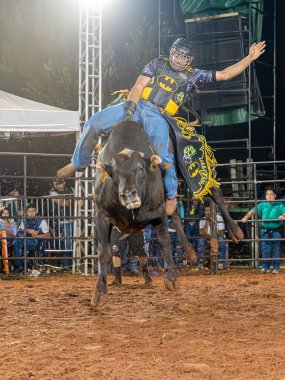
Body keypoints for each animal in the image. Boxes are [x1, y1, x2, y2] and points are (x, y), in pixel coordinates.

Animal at [91, 121, 242, 306]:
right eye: (114, 173)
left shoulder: (158, 211)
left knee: (213, 191)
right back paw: (190, 252)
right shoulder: (101, 215)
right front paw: (100, 291)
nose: (128, 194)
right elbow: (104, 252)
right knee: (175, 214)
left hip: (189, 169)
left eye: (140, 168)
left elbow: (165, 240)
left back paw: (235, 230)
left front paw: (171, 277)